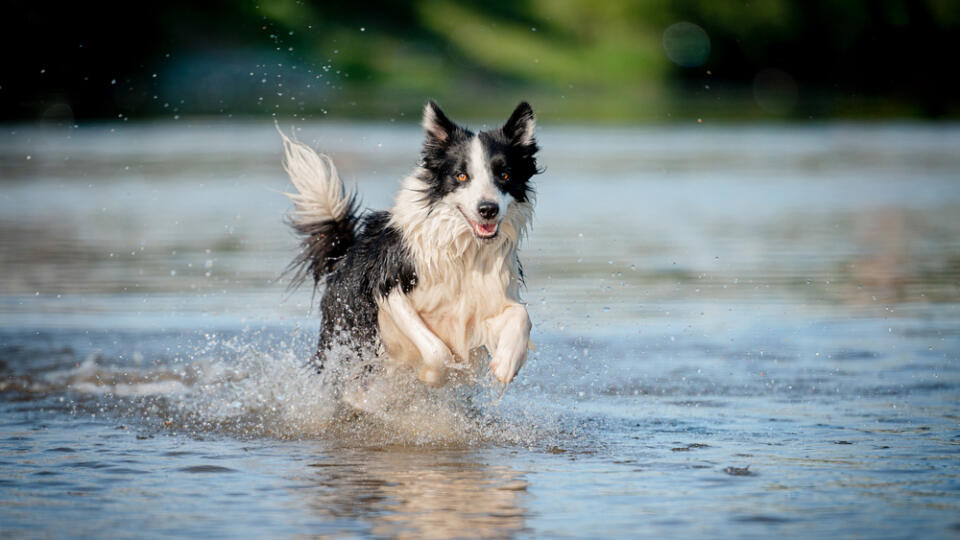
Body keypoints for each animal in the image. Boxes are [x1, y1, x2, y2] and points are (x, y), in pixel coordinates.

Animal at [280, 102, 540, 388]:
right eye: (461, 176)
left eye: (504, 174)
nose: (488, 209)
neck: (463, 250)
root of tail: (344, 256)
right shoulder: (388, 285)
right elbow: (437, 350)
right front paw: (432, 375)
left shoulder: (488, 297)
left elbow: (522, 314)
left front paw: (506, 363)